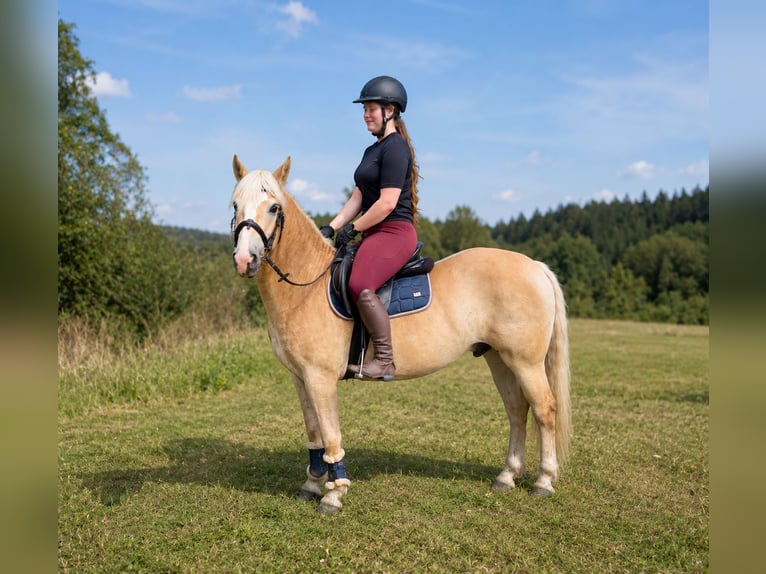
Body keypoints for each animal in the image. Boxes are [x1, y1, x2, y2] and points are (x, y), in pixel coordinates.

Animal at [230, 155, 572, 514]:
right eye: (235, 205)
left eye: (274, 208)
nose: (245, 260)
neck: (308, 285)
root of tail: (535, 266)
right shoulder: (301, 377)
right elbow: (314, 433)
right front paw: (312, 483)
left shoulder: (320, 378)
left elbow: (331, 435)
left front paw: (334, 494)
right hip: (499, 358)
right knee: (517, 410)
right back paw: (506, 476)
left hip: (525, 362)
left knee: (544, 409)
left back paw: (544, 480)